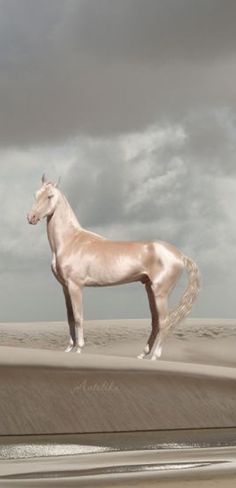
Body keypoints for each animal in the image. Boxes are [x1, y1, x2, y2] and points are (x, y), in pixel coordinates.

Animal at [27, 174, 200, 358]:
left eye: (50, 196)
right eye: (36, 194)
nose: (31, 217)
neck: (71, 241)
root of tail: (180, 255)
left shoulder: (76, 286)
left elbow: (79, 317)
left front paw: (79, 348)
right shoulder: (65, 287)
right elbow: (70, 318)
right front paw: (69, 348)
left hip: (160, 292)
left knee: (164, 322)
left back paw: (154, 357)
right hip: (150, 290)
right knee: (155, 322)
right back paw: (142, 355)